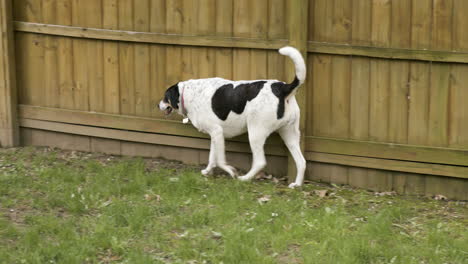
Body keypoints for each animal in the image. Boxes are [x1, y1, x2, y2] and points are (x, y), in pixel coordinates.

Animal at [160, 47, 308, 188]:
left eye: (165, 96)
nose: (158, 105)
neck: (188, 94)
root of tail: (282, 88)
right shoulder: (216, 135)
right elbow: (212, 158)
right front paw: (207, 171)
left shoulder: (216, 132)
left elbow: (220, 160)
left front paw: (231, 171)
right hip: (289, 135)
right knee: (301, 161)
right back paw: (296, 185)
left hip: (255, 133)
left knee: (260, 162)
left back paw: (245, 178)